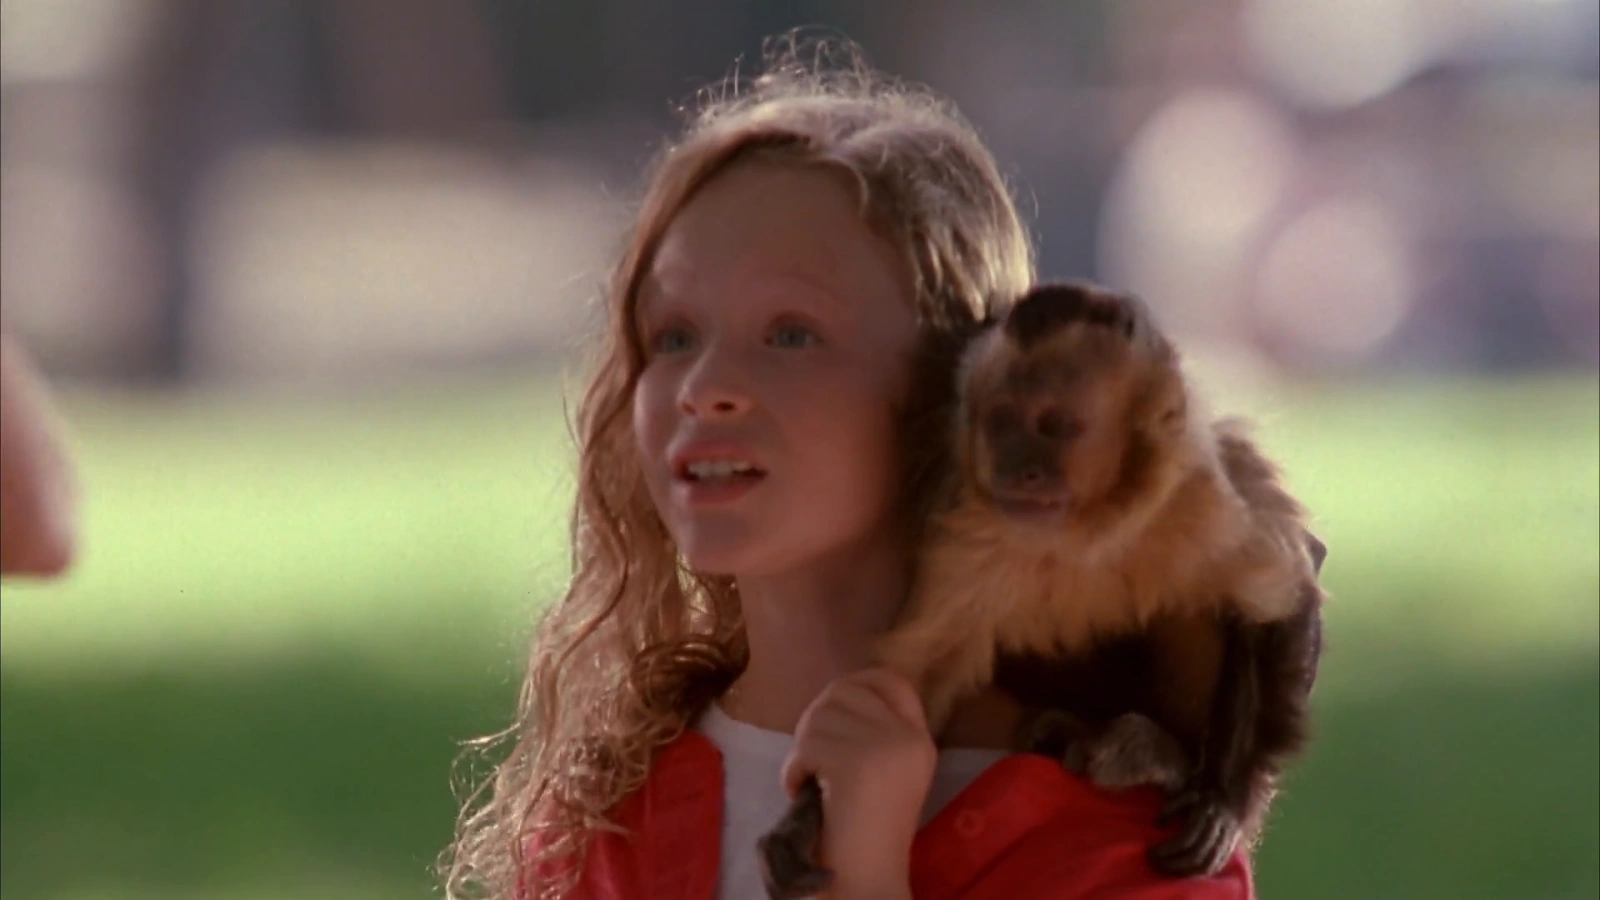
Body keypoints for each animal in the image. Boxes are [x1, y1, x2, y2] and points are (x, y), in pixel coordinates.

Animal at [758, 281, 1326, 899]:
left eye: (1056, 425)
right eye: (1003, 423)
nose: (1018, 469)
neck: (1084, 527)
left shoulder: (1197, 496)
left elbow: (1282, 595)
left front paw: (1225, 800)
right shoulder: (969, 530)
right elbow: (920, 674)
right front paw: (807, 817)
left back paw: (1163, 754)